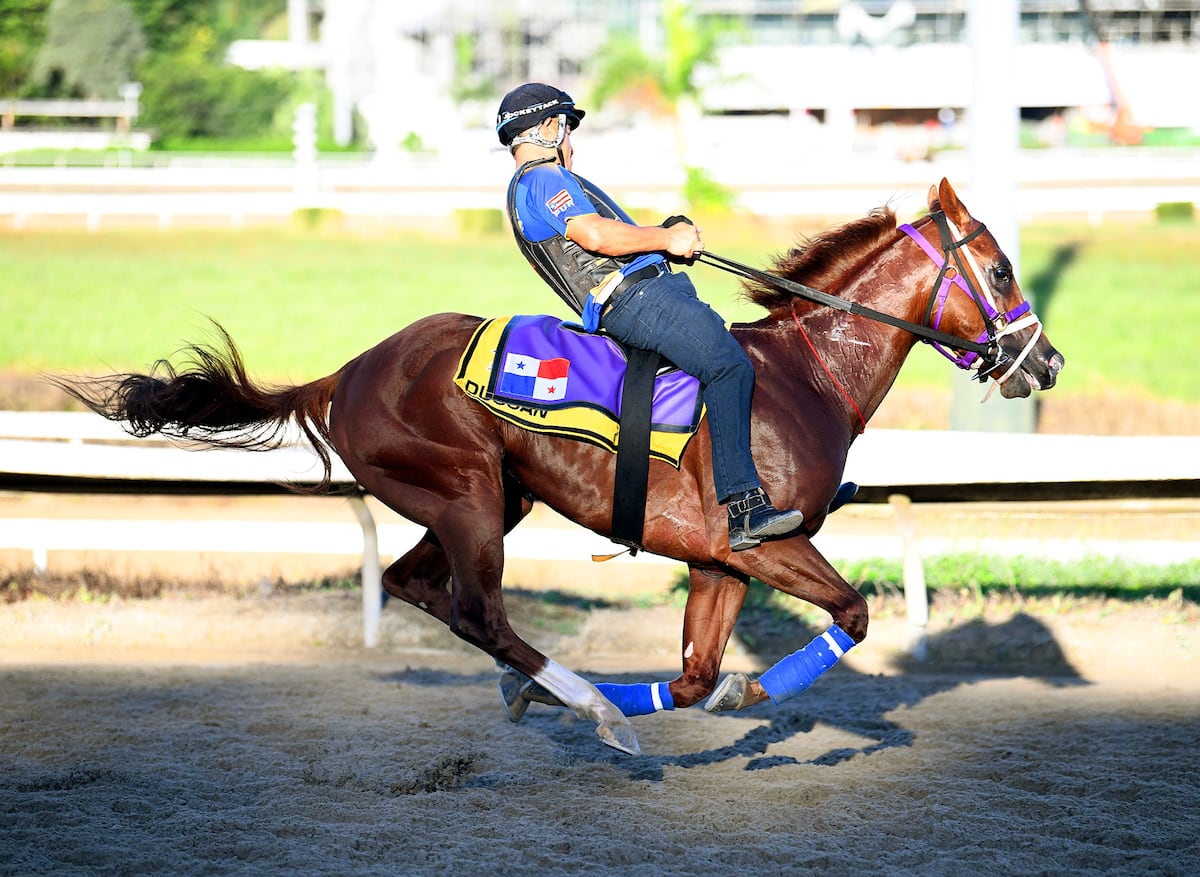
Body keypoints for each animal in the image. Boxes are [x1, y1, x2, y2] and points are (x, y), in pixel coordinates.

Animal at [60, 178, 1065, 753]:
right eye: (1003, 270)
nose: (1046, 362)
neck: (802, 374)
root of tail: (346, 372)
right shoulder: (768, 542)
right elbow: (852, 612)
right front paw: (741, 694)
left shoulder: (718, 560)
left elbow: (694, 675)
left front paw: (723, 687)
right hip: (467, 494)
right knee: (478, 612)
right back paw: (587, 705)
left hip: (486, 502)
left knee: (419, 587)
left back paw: (546, 690)